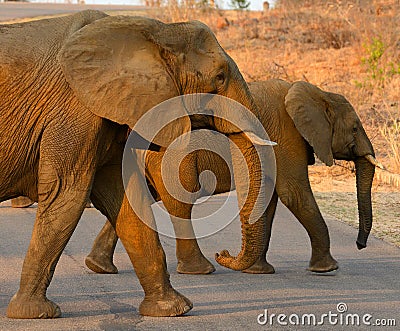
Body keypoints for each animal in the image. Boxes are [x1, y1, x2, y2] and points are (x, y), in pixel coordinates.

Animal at [0, 11, 274, 320]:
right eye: (219, 76)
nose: (223, 253)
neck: (155, 31)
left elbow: (128, 200)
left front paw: (173, 309)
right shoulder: (74, 111)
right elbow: (67, 194)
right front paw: (35, 313)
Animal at [84, 79, 378, 276]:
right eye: (355, 128)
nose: (360, 245)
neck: (316, 93)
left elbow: (269, 199)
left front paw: (259, 271)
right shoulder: (287, 135)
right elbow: (293, 192)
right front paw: (327, 269)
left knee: (139, 197)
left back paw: (98, 267)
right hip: (169, 154)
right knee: (180, 201)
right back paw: (201, 270)